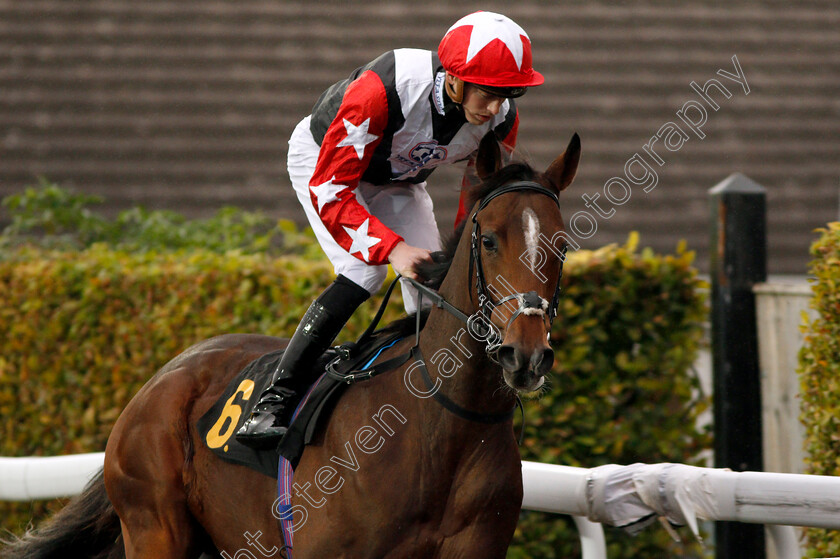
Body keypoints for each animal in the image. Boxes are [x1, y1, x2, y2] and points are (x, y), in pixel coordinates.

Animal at [1, 132, 576, 559]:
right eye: (489, 240)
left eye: (562, 245)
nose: (526, 354)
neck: (438, 433)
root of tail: (161, 378)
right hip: (155, 528)